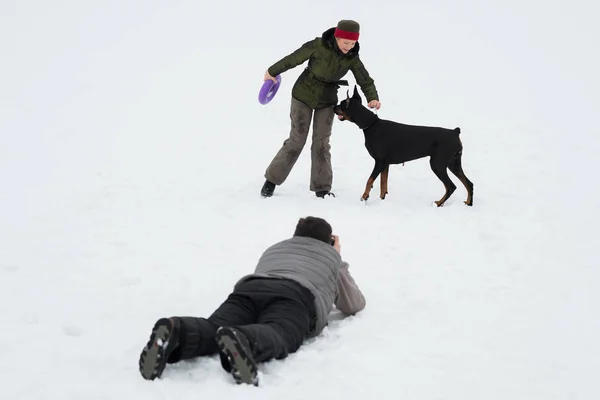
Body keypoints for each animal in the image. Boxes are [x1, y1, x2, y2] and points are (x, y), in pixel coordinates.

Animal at [332, 86, 474, 206]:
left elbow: (369, 180)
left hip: (437, 164)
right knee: (469, 183)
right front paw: (382, 199)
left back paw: (439, 203)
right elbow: (383, 183)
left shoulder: (379, 161)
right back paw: (468, 203)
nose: (333, 106)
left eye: (341, 104)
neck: (371, 124)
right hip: (453, 163)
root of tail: (455, 132)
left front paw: (365, 196)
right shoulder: (385, 164)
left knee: (451, 186)